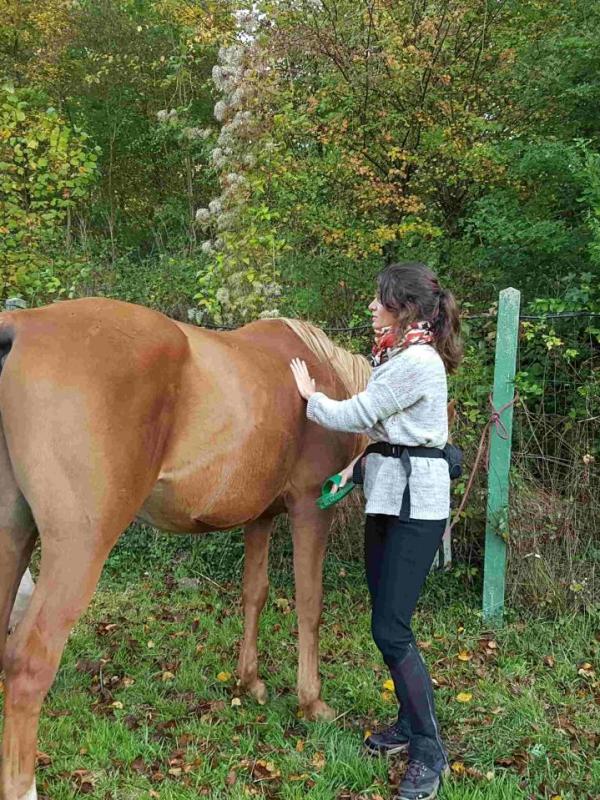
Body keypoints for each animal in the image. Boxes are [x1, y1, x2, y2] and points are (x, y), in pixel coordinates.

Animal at [0, 297, 371, 800]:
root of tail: (23, 324)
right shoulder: (311, 508)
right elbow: (309, 604)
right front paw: (311, 701)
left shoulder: (260, 518)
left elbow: (254, 593)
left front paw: (250, 681)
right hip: (78, 549)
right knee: (28, 663)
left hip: (13, 536)